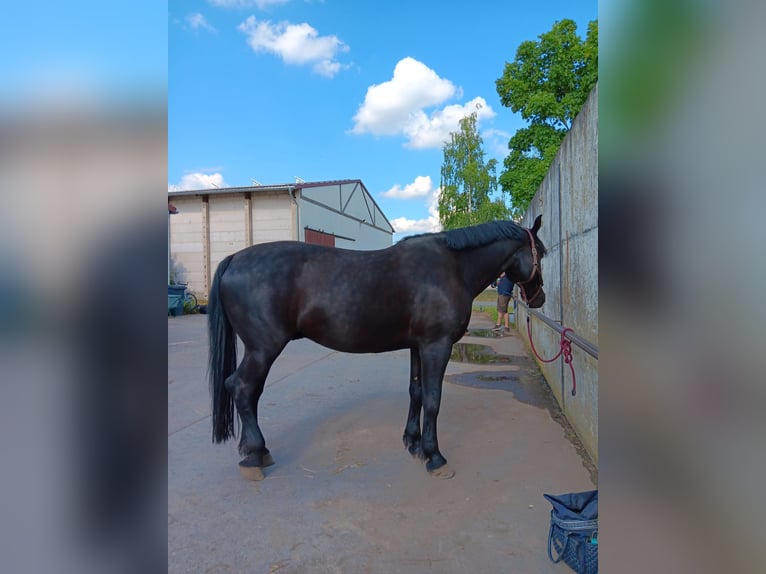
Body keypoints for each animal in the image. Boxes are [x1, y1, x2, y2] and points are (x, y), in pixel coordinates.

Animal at [210, 216, 544, 482]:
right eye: (542, 252)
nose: (539, 299)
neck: (452, 268)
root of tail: (234, 258)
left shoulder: (418, 346)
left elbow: (416, 392)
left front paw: (413, 443)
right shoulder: (436, 345)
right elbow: (433, 400)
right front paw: (435, 457)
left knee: (248, 392)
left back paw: (258, 451)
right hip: (263, 349)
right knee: (241, 388)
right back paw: (255, 457)